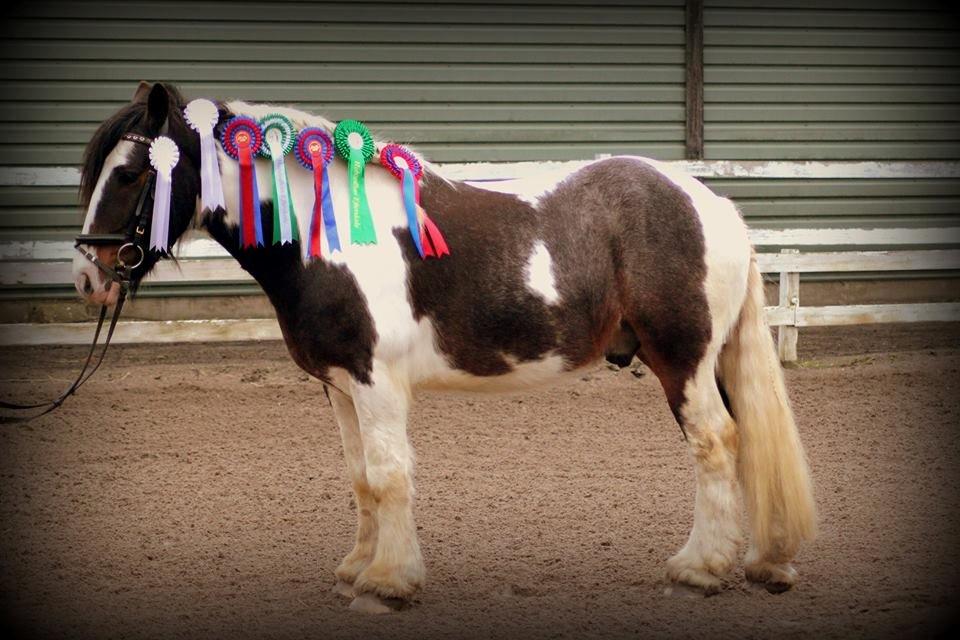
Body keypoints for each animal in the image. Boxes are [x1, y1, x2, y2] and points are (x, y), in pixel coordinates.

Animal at [71, 82, 812, 612]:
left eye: (132, 173)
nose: (88, 278)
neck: (325, 233)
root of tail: (711, 204)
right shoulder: (341, 386)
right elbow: (360, 476)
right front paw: (356, 570)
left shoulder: (375, 381)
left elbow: (390, 473)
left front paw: (388, 584)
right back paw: (756, 561)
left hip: (682, 360)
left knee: (714, 443)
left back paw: (699, 570)